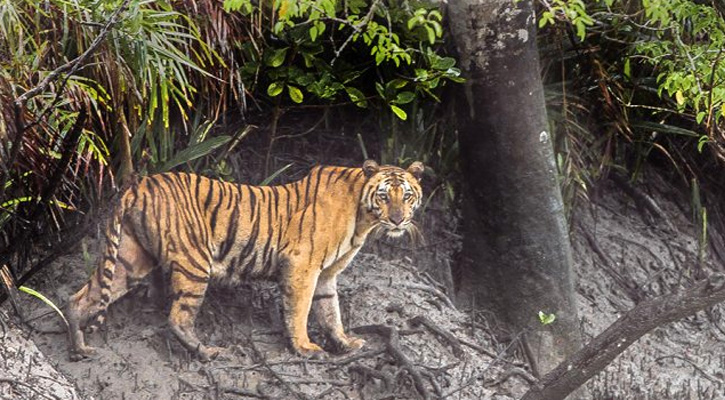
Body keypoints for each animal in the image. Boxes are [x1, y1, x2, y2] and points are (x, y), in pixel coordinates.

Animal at [66, 159, 424, 362]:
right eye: (384, 195)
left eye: (407, 196)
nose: (398, 220)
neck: (363, 218)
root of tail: (139, 184)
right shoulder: (302, 267)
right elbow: (300, 311)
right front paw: (305, 348)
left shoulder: (325, 276)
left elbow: (330, 311)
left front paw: (345, 343)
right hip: (195, 262)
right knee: (178, 317)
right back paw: (207, 352)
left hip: (130, 259)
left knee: (80, 297)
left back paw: (78, 347)